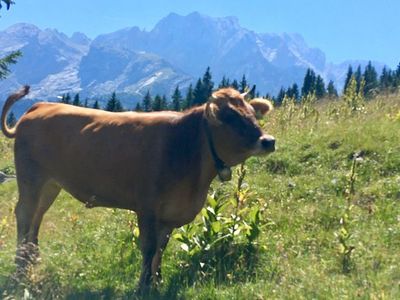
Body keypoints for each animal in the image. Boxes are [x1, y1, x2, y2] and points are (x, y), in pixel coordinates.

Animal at [0, 85, 276, 292]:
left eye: (252, 113)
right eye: (230, 118)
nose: (269, 141)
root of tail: (39, 106)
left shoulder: (169, 214)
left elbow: (161, 249)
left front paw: (157, 281)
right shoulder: (147, 207)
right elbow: (149, 248)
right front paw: (143, 286)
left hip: (51, 184)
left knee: (37, 216)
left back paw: (33, 258)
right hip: (31, 178)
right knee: (24, 214)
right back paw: (20, 264)